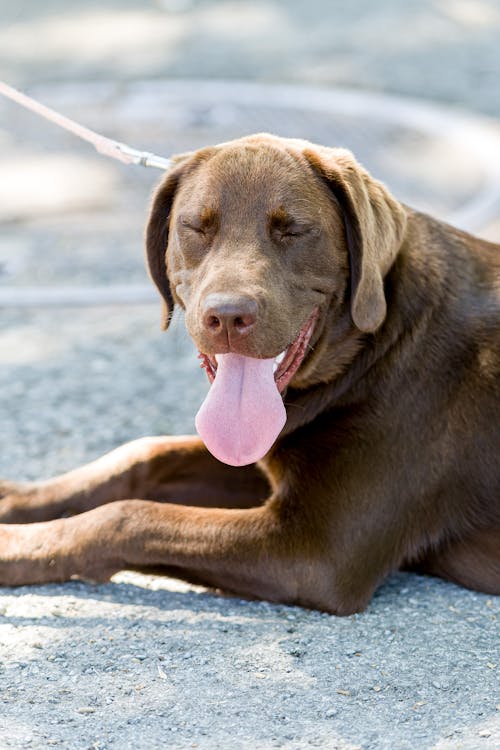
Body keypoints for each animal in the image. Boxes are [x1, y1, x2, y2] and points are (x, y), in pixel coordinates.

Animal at [0, 137, 500, 616]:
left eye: (292, 230)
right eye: (196, 228)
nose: (227, 316)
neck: (372, 351)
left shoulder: (313, 551)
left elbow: (128, 517)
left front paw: (15, 546)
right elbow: (141, 454)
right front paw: (17, 498)